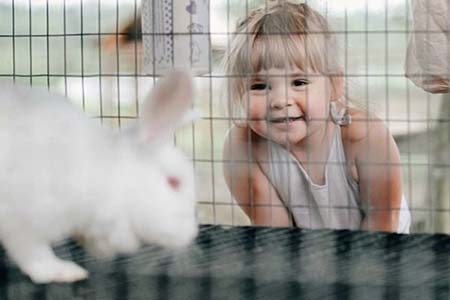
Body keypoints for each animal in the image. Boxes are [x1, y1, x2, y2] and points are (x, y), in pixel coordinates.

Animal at [0, 69, 199, 284]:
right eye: (174, 182)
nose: (191, 234)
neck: (106, 174)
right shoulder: (24, 221)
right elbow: (34, 255)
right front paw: (65, 272)